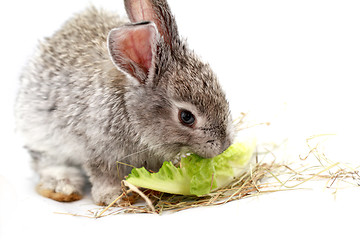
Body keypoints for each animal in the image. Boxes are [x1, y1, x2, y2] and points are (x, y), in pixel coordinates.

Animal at [14, 0, 233, 205]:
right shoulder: (98, 152)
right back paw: (63, 187)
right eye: (186, 117)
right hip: (43, 137)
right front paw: (112, 196)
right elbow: (104, 176)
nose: (224, 146)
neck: (130, 113)